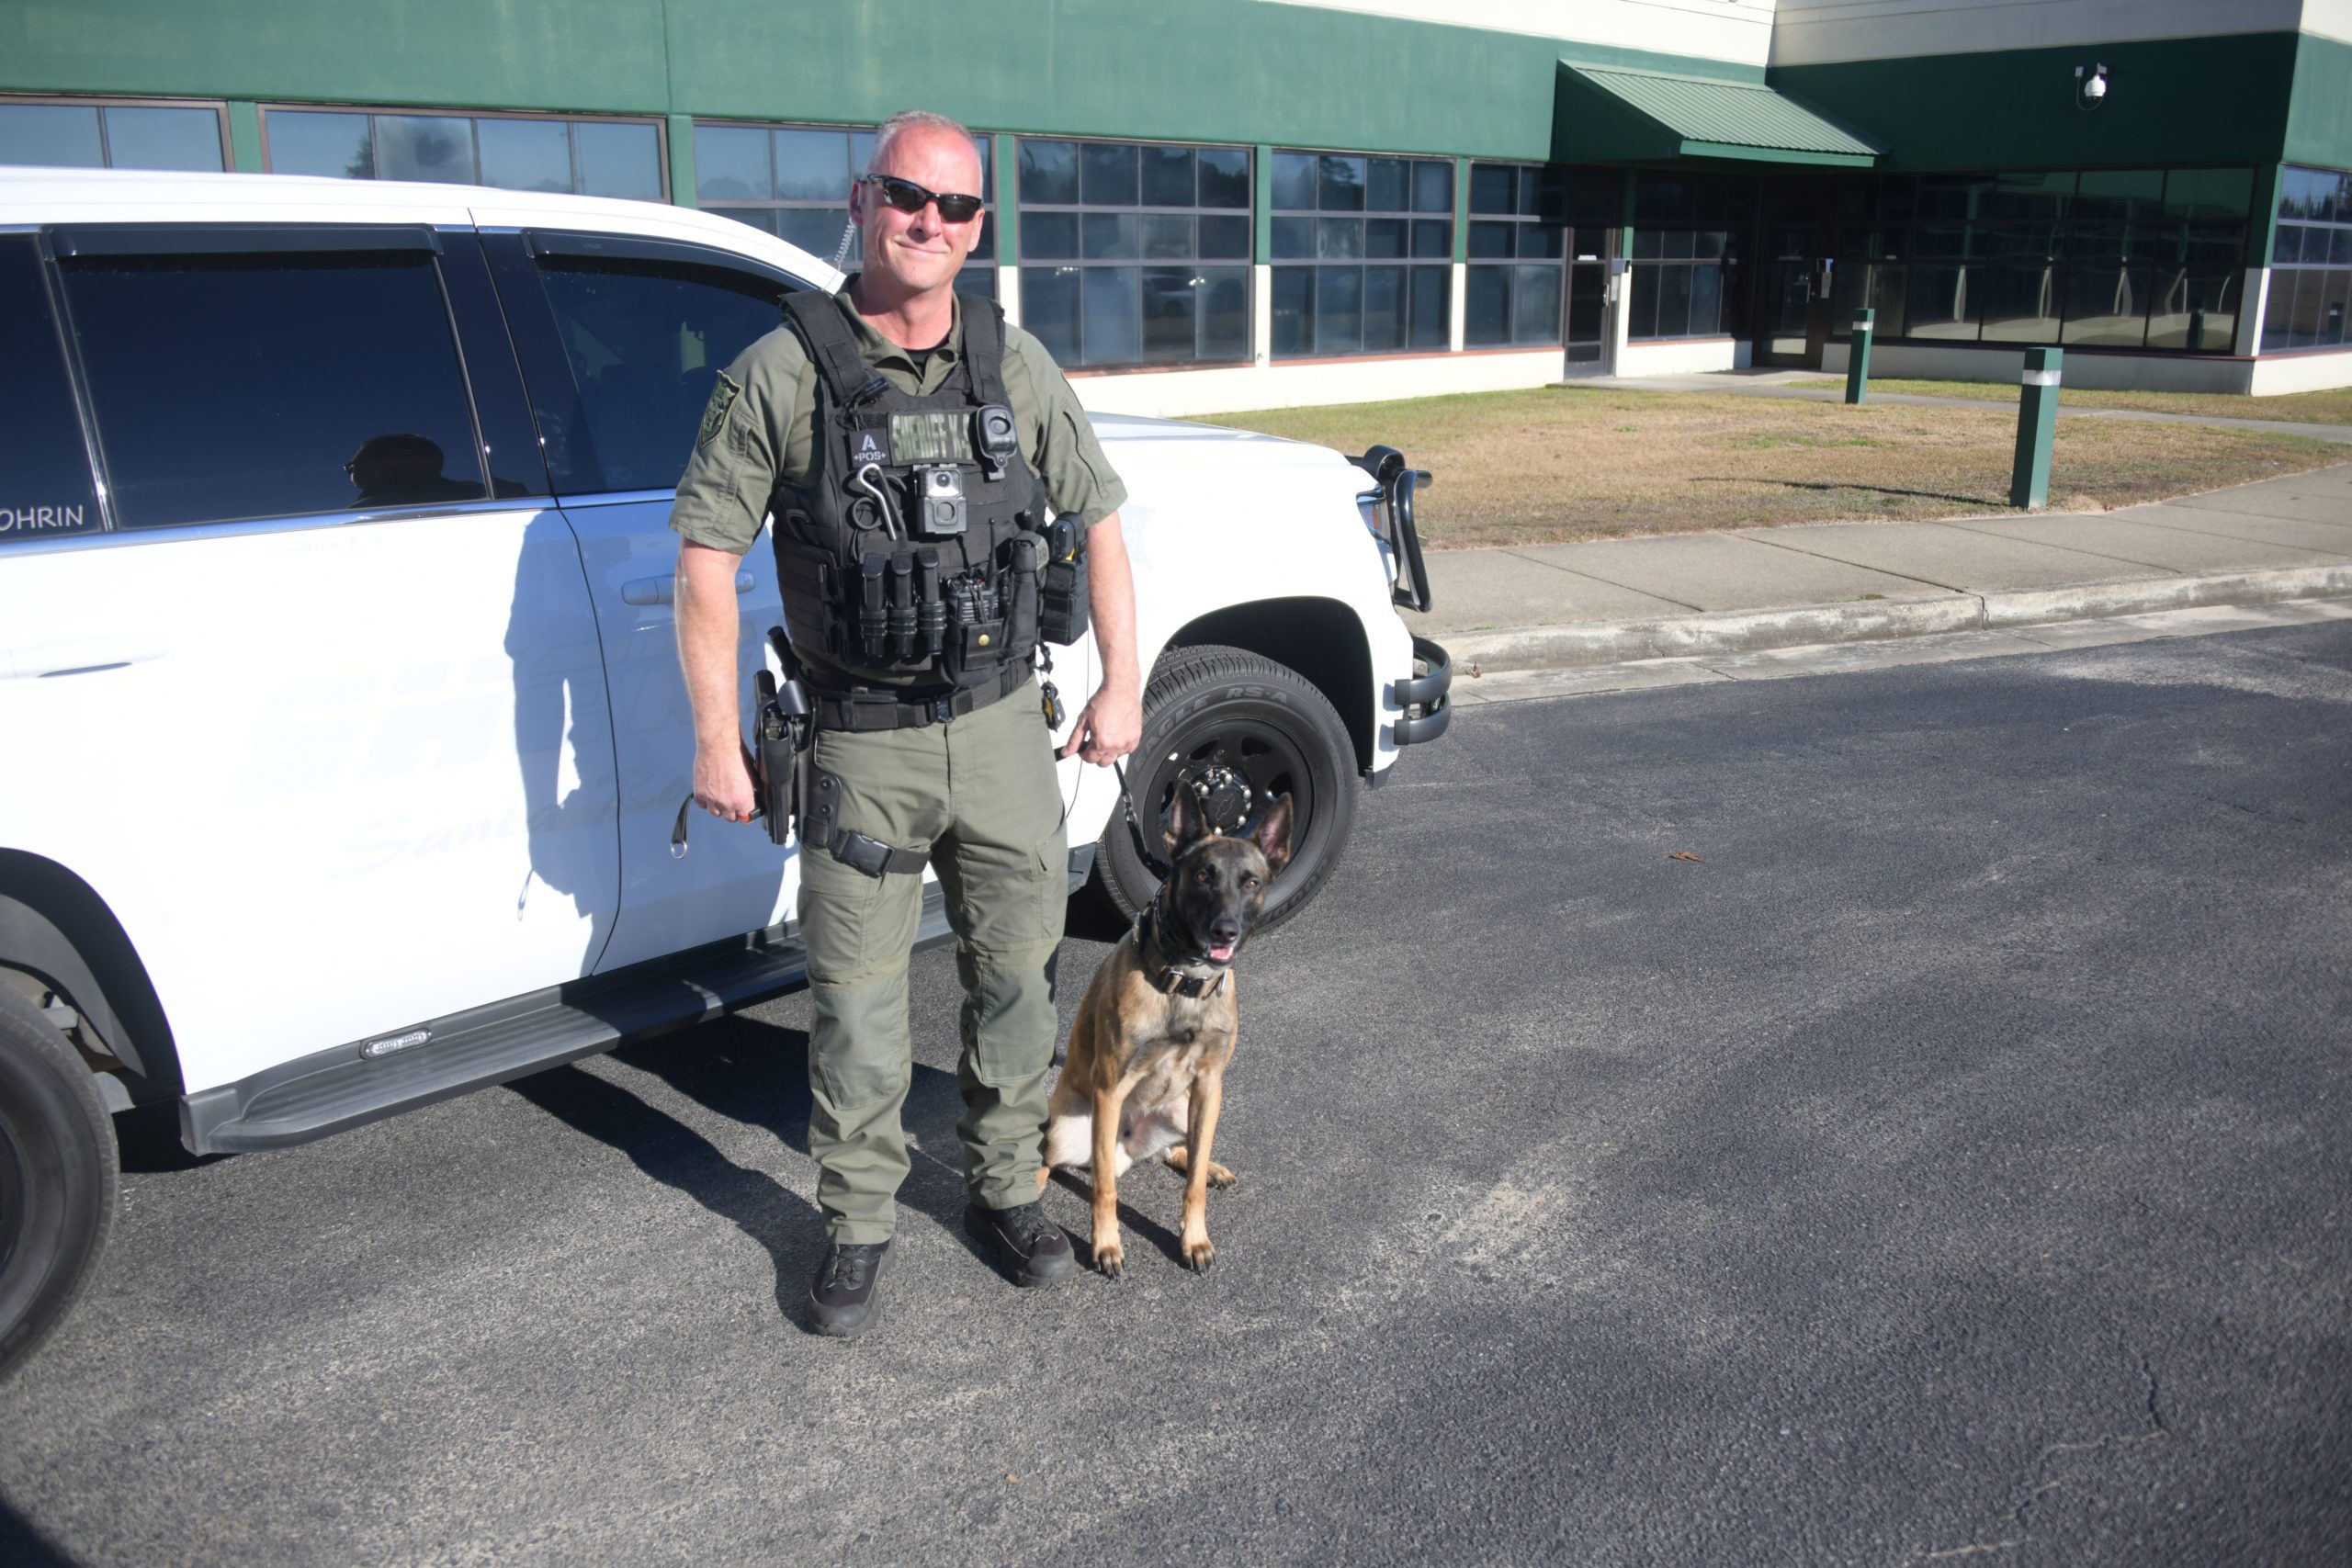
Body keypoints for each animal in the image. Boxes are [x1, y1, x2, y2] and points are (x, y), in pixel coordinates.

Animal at [1038, 785, 1294, 1276]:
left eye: (1251, 882)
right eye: (1202, 875)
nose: (1225, 930)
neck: (1185, 982)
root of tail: (1131, 1147)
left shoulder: (1210, 1085)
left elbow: (1191, 1184)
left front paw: (1193, 1237)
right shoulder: (1110, 1088)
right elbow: (1104, 1189)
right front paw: (1106, 1244)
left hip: (1186, 1108)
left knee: (1181, 1151)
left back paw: (1209, 1166)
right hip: (1068, 1129)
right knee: (1053, 1160)